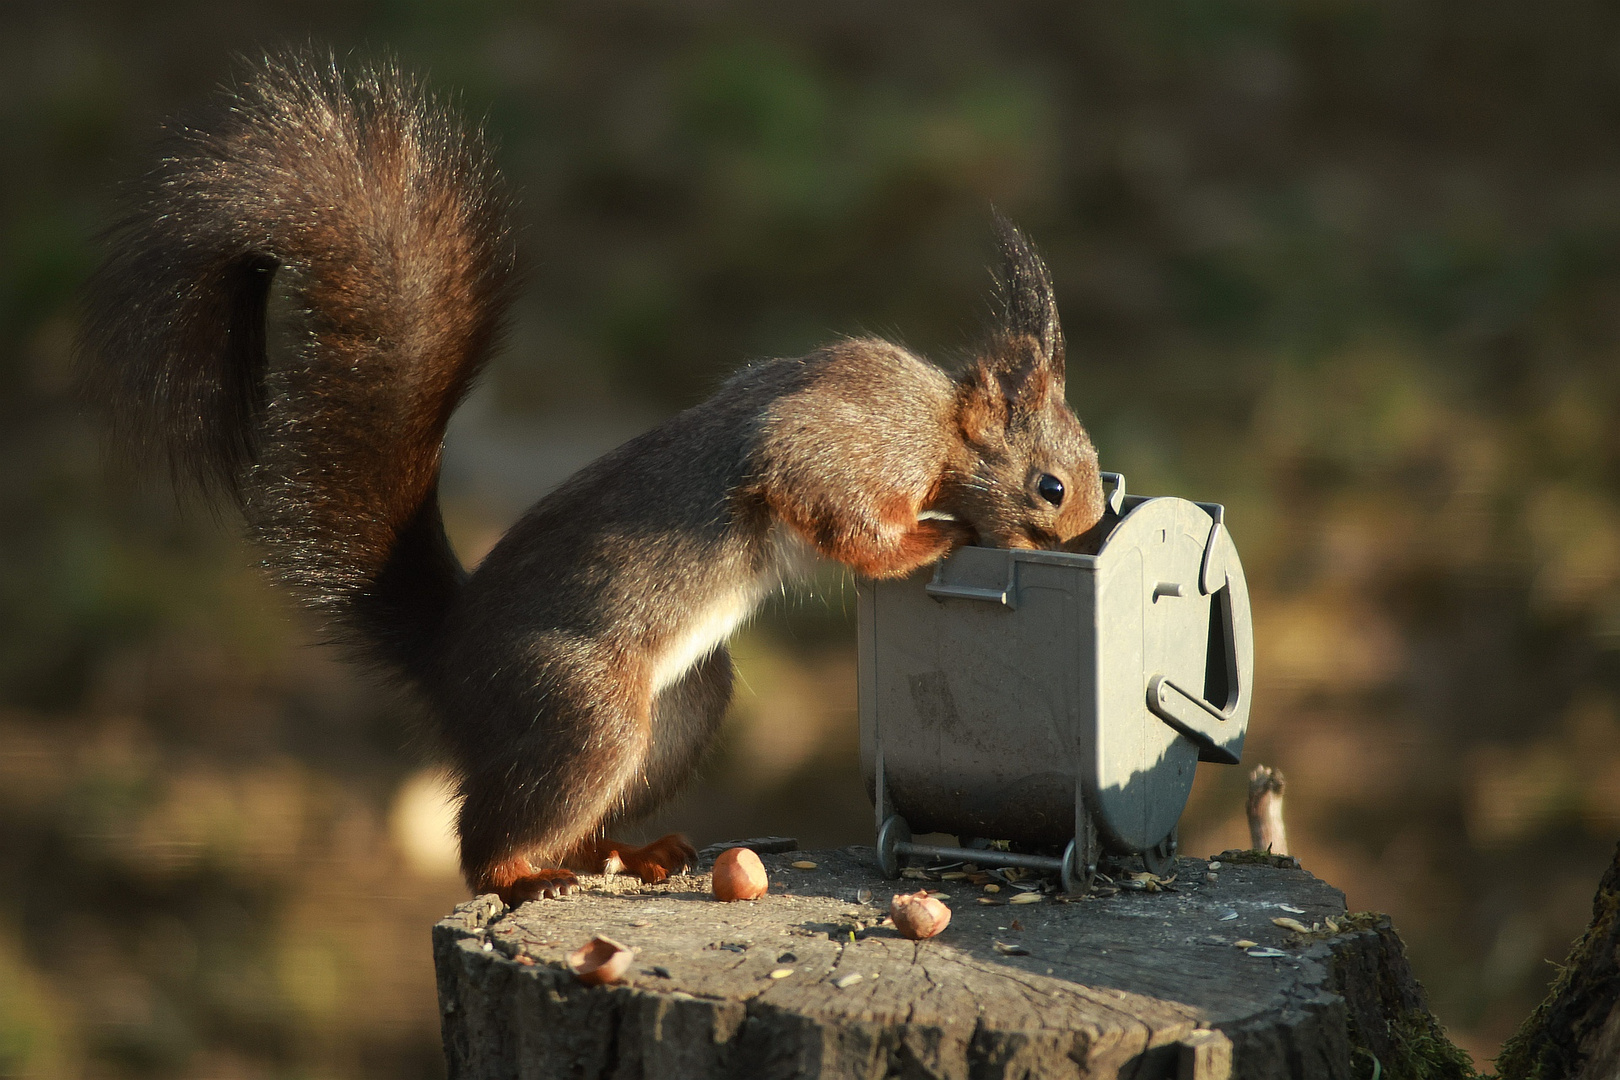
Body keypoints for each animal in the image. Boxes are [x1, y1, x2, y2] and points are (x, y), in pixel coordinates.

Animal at [82, 57, 1108, 906]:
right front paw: (931, 538)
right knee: (484, 834)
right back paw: (523, 875)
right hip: (587, 711)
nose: (1090, 540)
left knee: (575, 819)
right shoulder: (840, 442)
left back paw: (625, 855)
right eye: (1052, 487)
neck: (938, 427)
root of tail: (448, 659)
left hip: (680, 711)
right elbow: (834, 511)